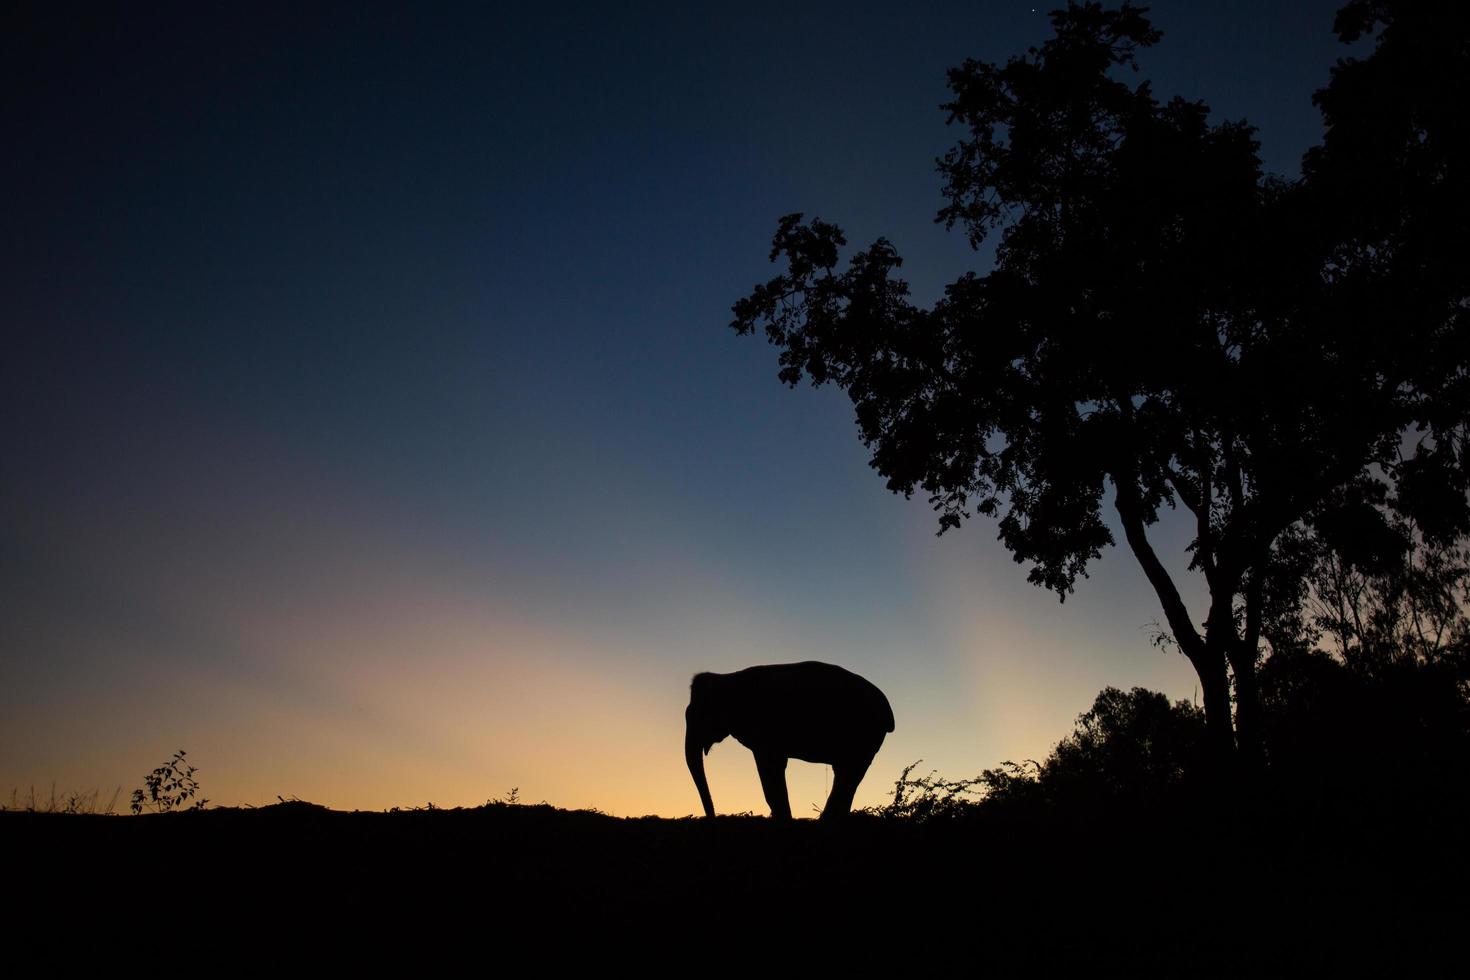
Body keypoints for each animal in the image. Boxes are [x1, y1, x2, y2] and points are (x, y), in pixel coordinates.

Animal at [685, 658, 893, 822]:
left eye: (699, 716)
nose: (713, 816)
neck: (727, 678)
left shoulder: (765, 730)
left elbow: (771, 768)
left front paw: (783, 819)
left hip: (864, 735)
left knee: (848, 773)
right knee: (847, 773)